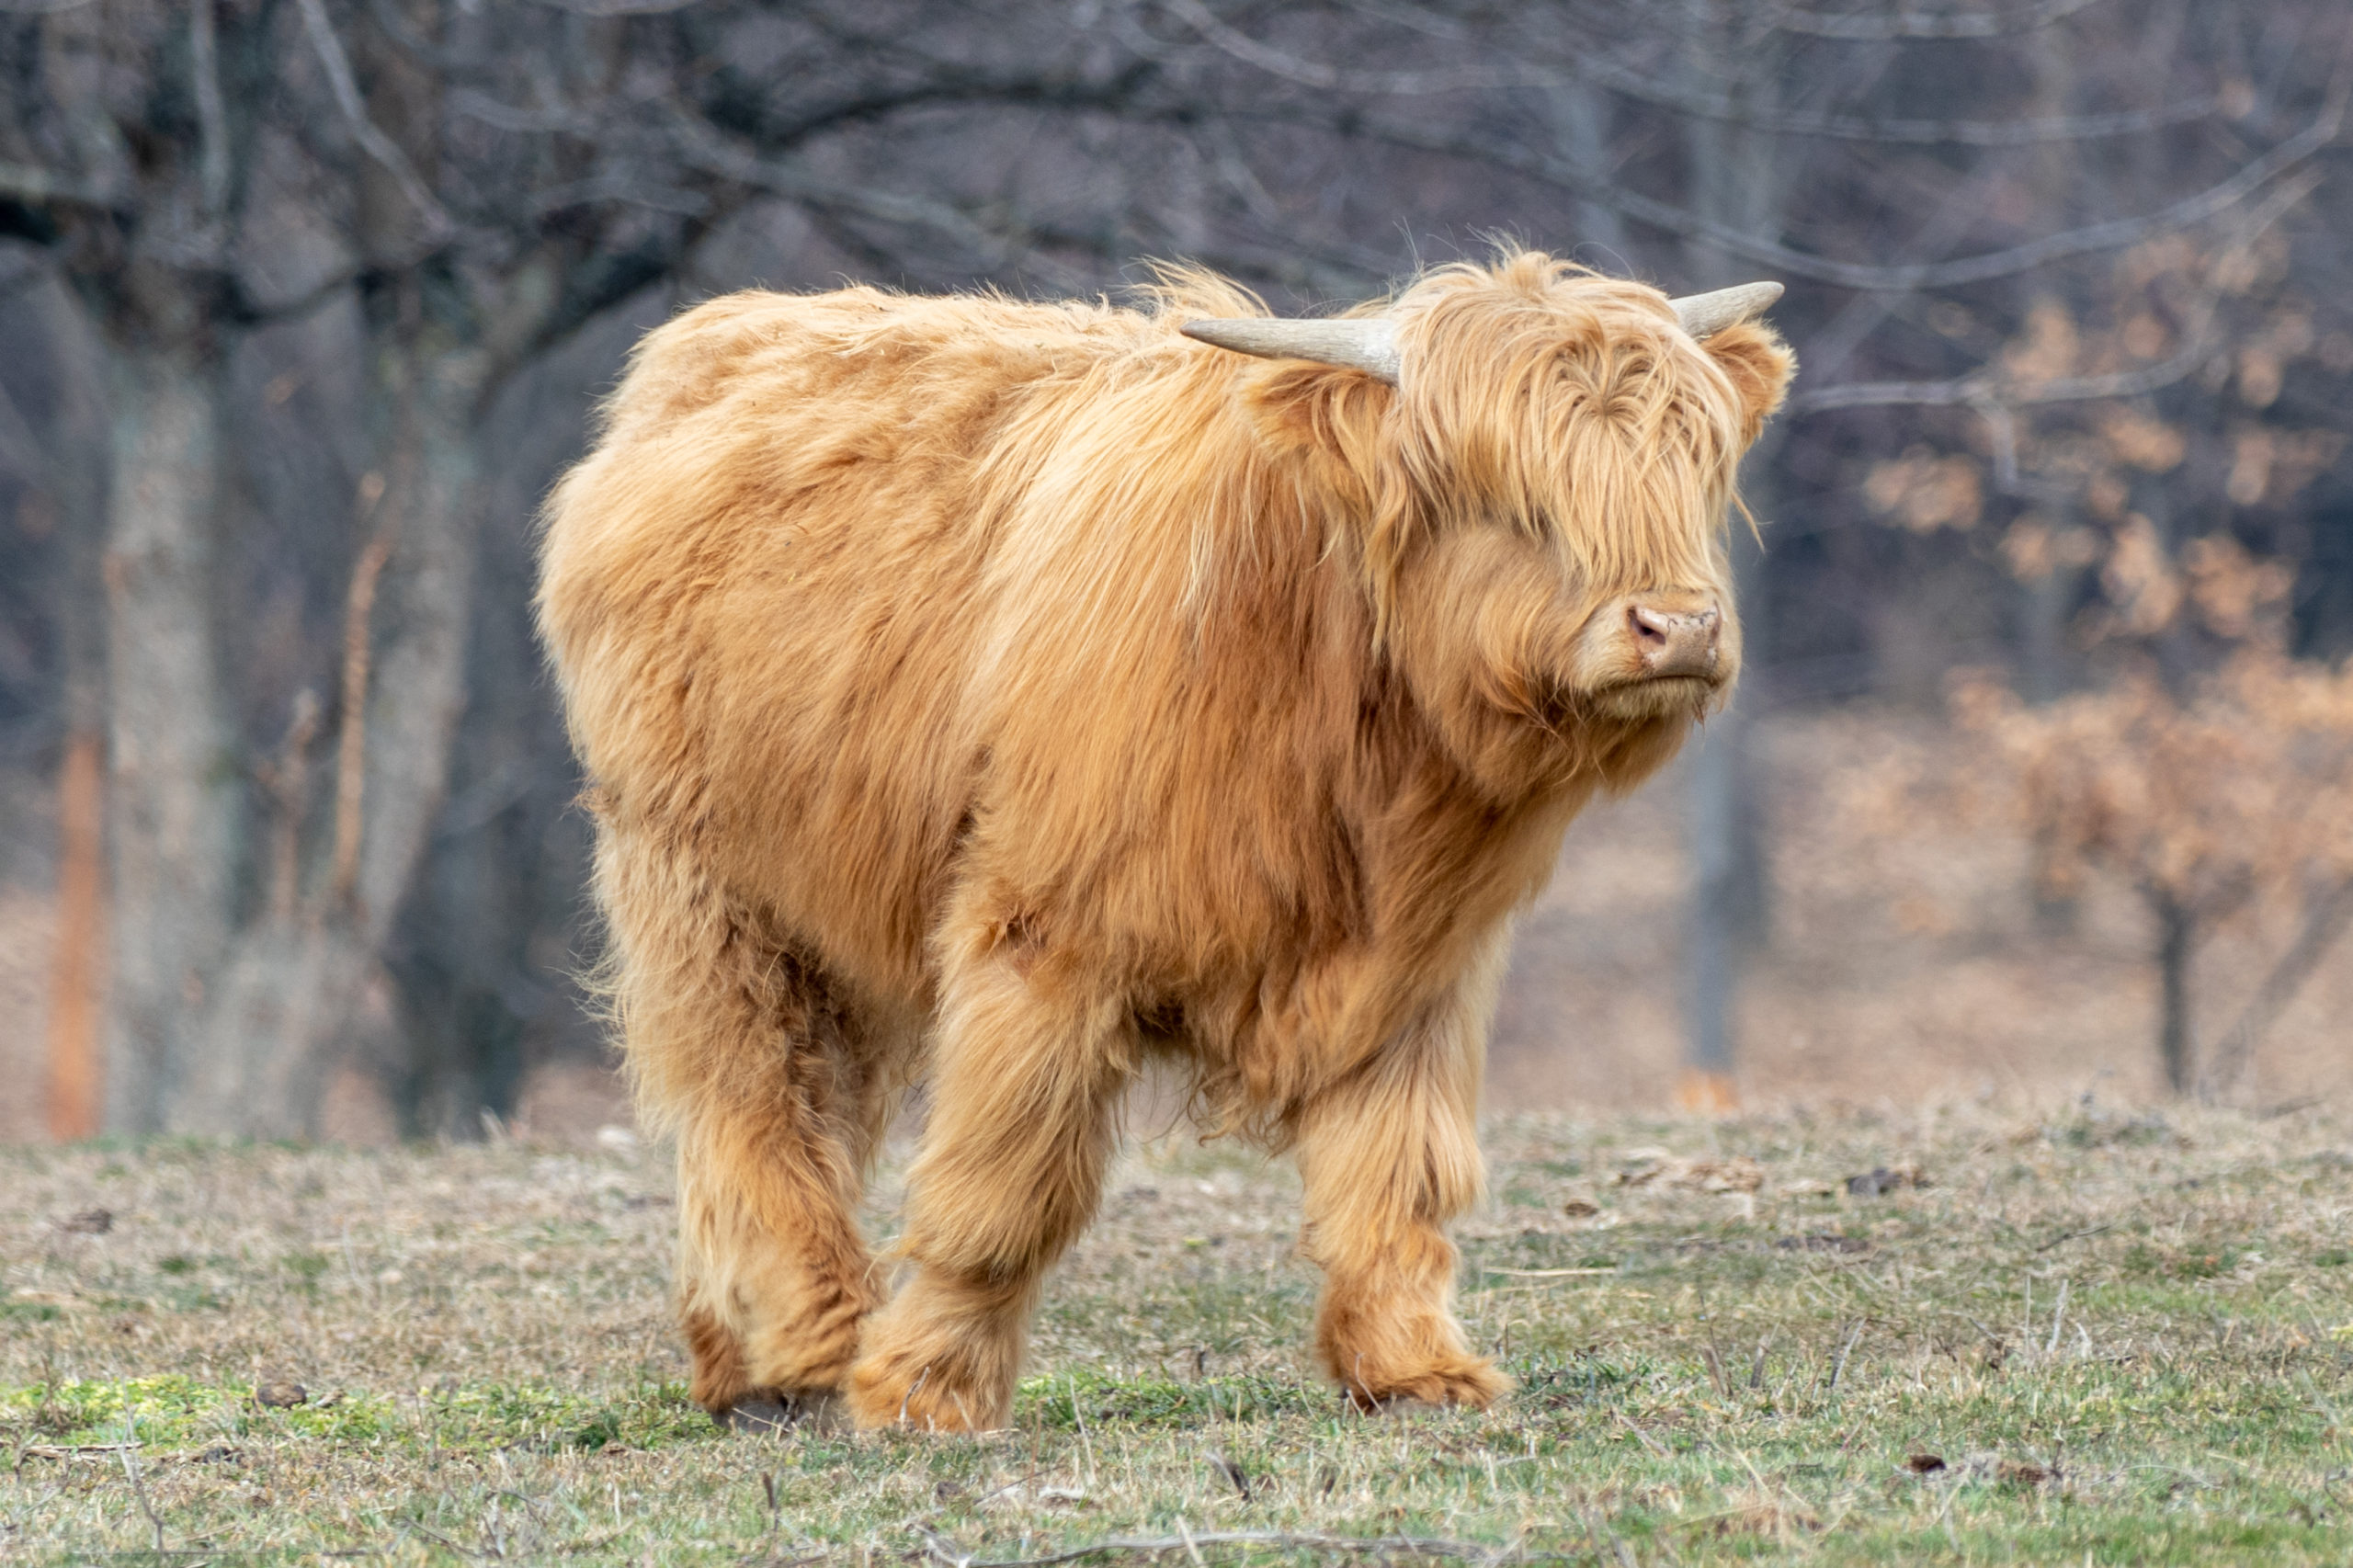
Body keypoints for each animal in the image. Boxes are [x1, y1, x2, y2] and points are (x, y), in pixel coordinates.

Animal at [535, 249, 1792, 1433]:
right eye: (1505, 489)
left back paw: (735, 1357)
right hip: (699, 884)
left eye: (1691, 463)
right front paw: (924, 1391)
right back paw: (802, 1346)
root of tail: (716, 338)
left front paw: (1415, 1370)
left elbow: (1400, 1173)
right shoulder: (1042, 937)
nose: (1678, 626)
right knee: (750, 1092)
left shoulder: (1417, 969)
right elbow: (1005, 1186)